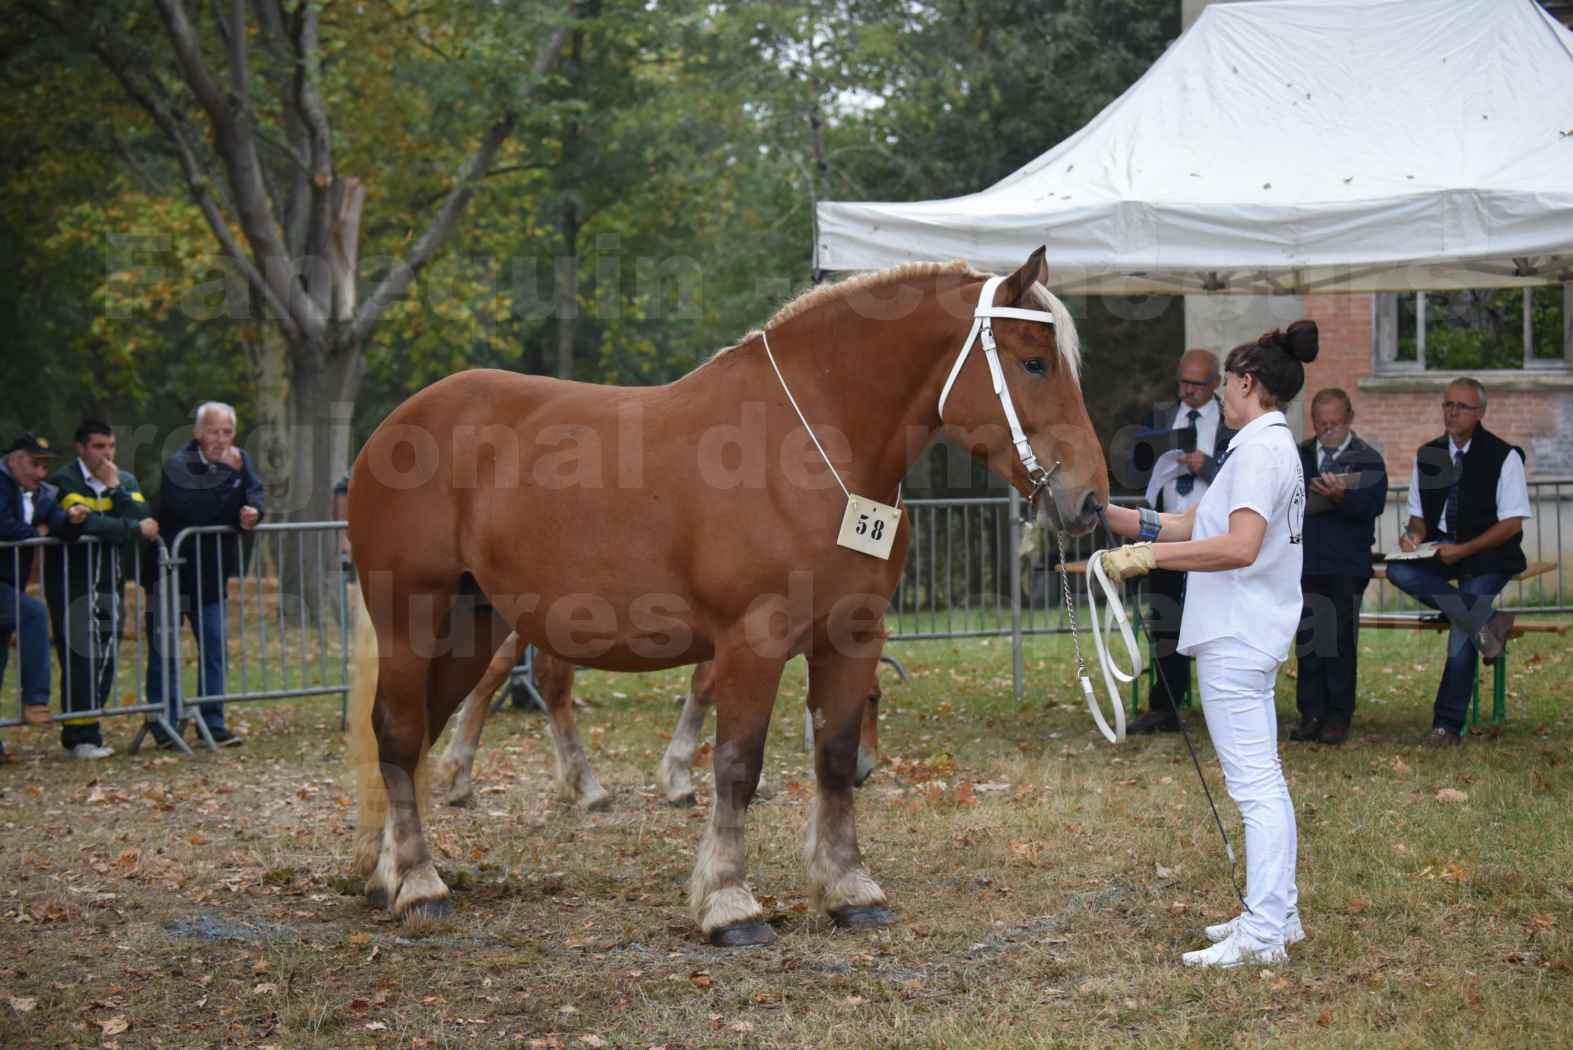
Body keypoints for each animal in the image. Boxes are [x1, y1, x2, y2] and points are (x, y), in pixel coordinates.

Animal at [431, 635, 887, 811]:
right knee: (549, 677)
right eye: (873, 698)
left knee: (498, 666)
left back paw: (461, 775)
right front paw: (678, 776)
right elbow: (706, 685)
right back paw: (588, 786)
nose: (864, 770)